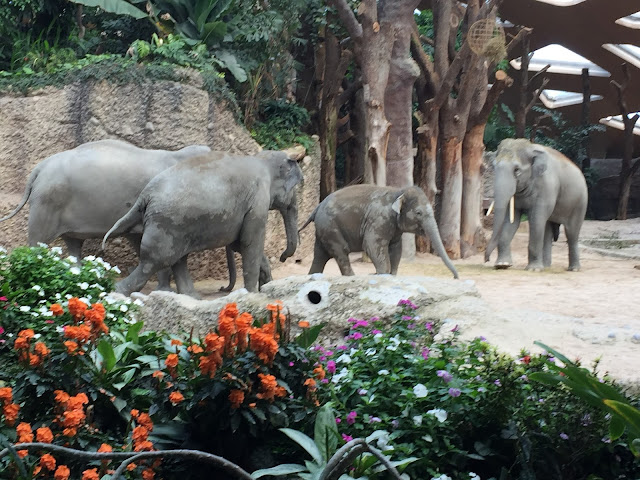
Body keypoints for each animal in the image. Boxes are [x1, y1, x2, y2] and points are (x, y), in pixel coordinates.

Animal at [0, 139, 211, 289]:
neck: (178, 156)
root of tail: (39, 168)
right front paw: (164, 289)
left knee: (73, 244)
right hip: (47, 203)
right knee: (38, 243)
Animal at [101, 150, 303, 296]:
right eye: (295, 188)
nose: (283, 257)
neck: (261, 158)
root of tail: (145, 194)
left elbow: (242, 244)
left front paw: (266, 286)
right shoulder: (258, 200)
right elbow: (250, 243)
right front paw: (253, 294)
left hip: (173, 226)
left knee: (177, 260)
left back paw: (191, 297)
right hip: (168, 223)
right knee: (155, 260)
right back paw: (118, 291)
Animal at [298, 184, 459, 278]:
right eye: (419, 213)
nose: (455, 277)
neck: (399, 191)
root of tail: (317, 207)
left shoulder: (394, 228)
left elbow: (396, 248)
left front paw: (391, 275)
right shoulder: (379, 218)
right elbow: (371, 244)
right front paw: (382, 275)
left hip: (324, 229)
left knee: (320, 255)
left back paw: (312, 276)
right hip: (331, 227)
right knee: (340, 251)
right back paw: (352, 277)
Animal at [484, 138, 588, 271]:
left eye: (517, 170)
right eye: (493, 167)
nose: (486, 259)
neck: (530, 147)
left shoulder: (547, 187)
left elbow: (536, 219)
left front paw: (533, 269)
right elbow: (511, 220)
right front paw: (502, 264)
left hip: (580, 202)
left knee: (571, 232)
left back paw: (573, 269)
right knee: (548, 230)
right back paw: (546, 266)